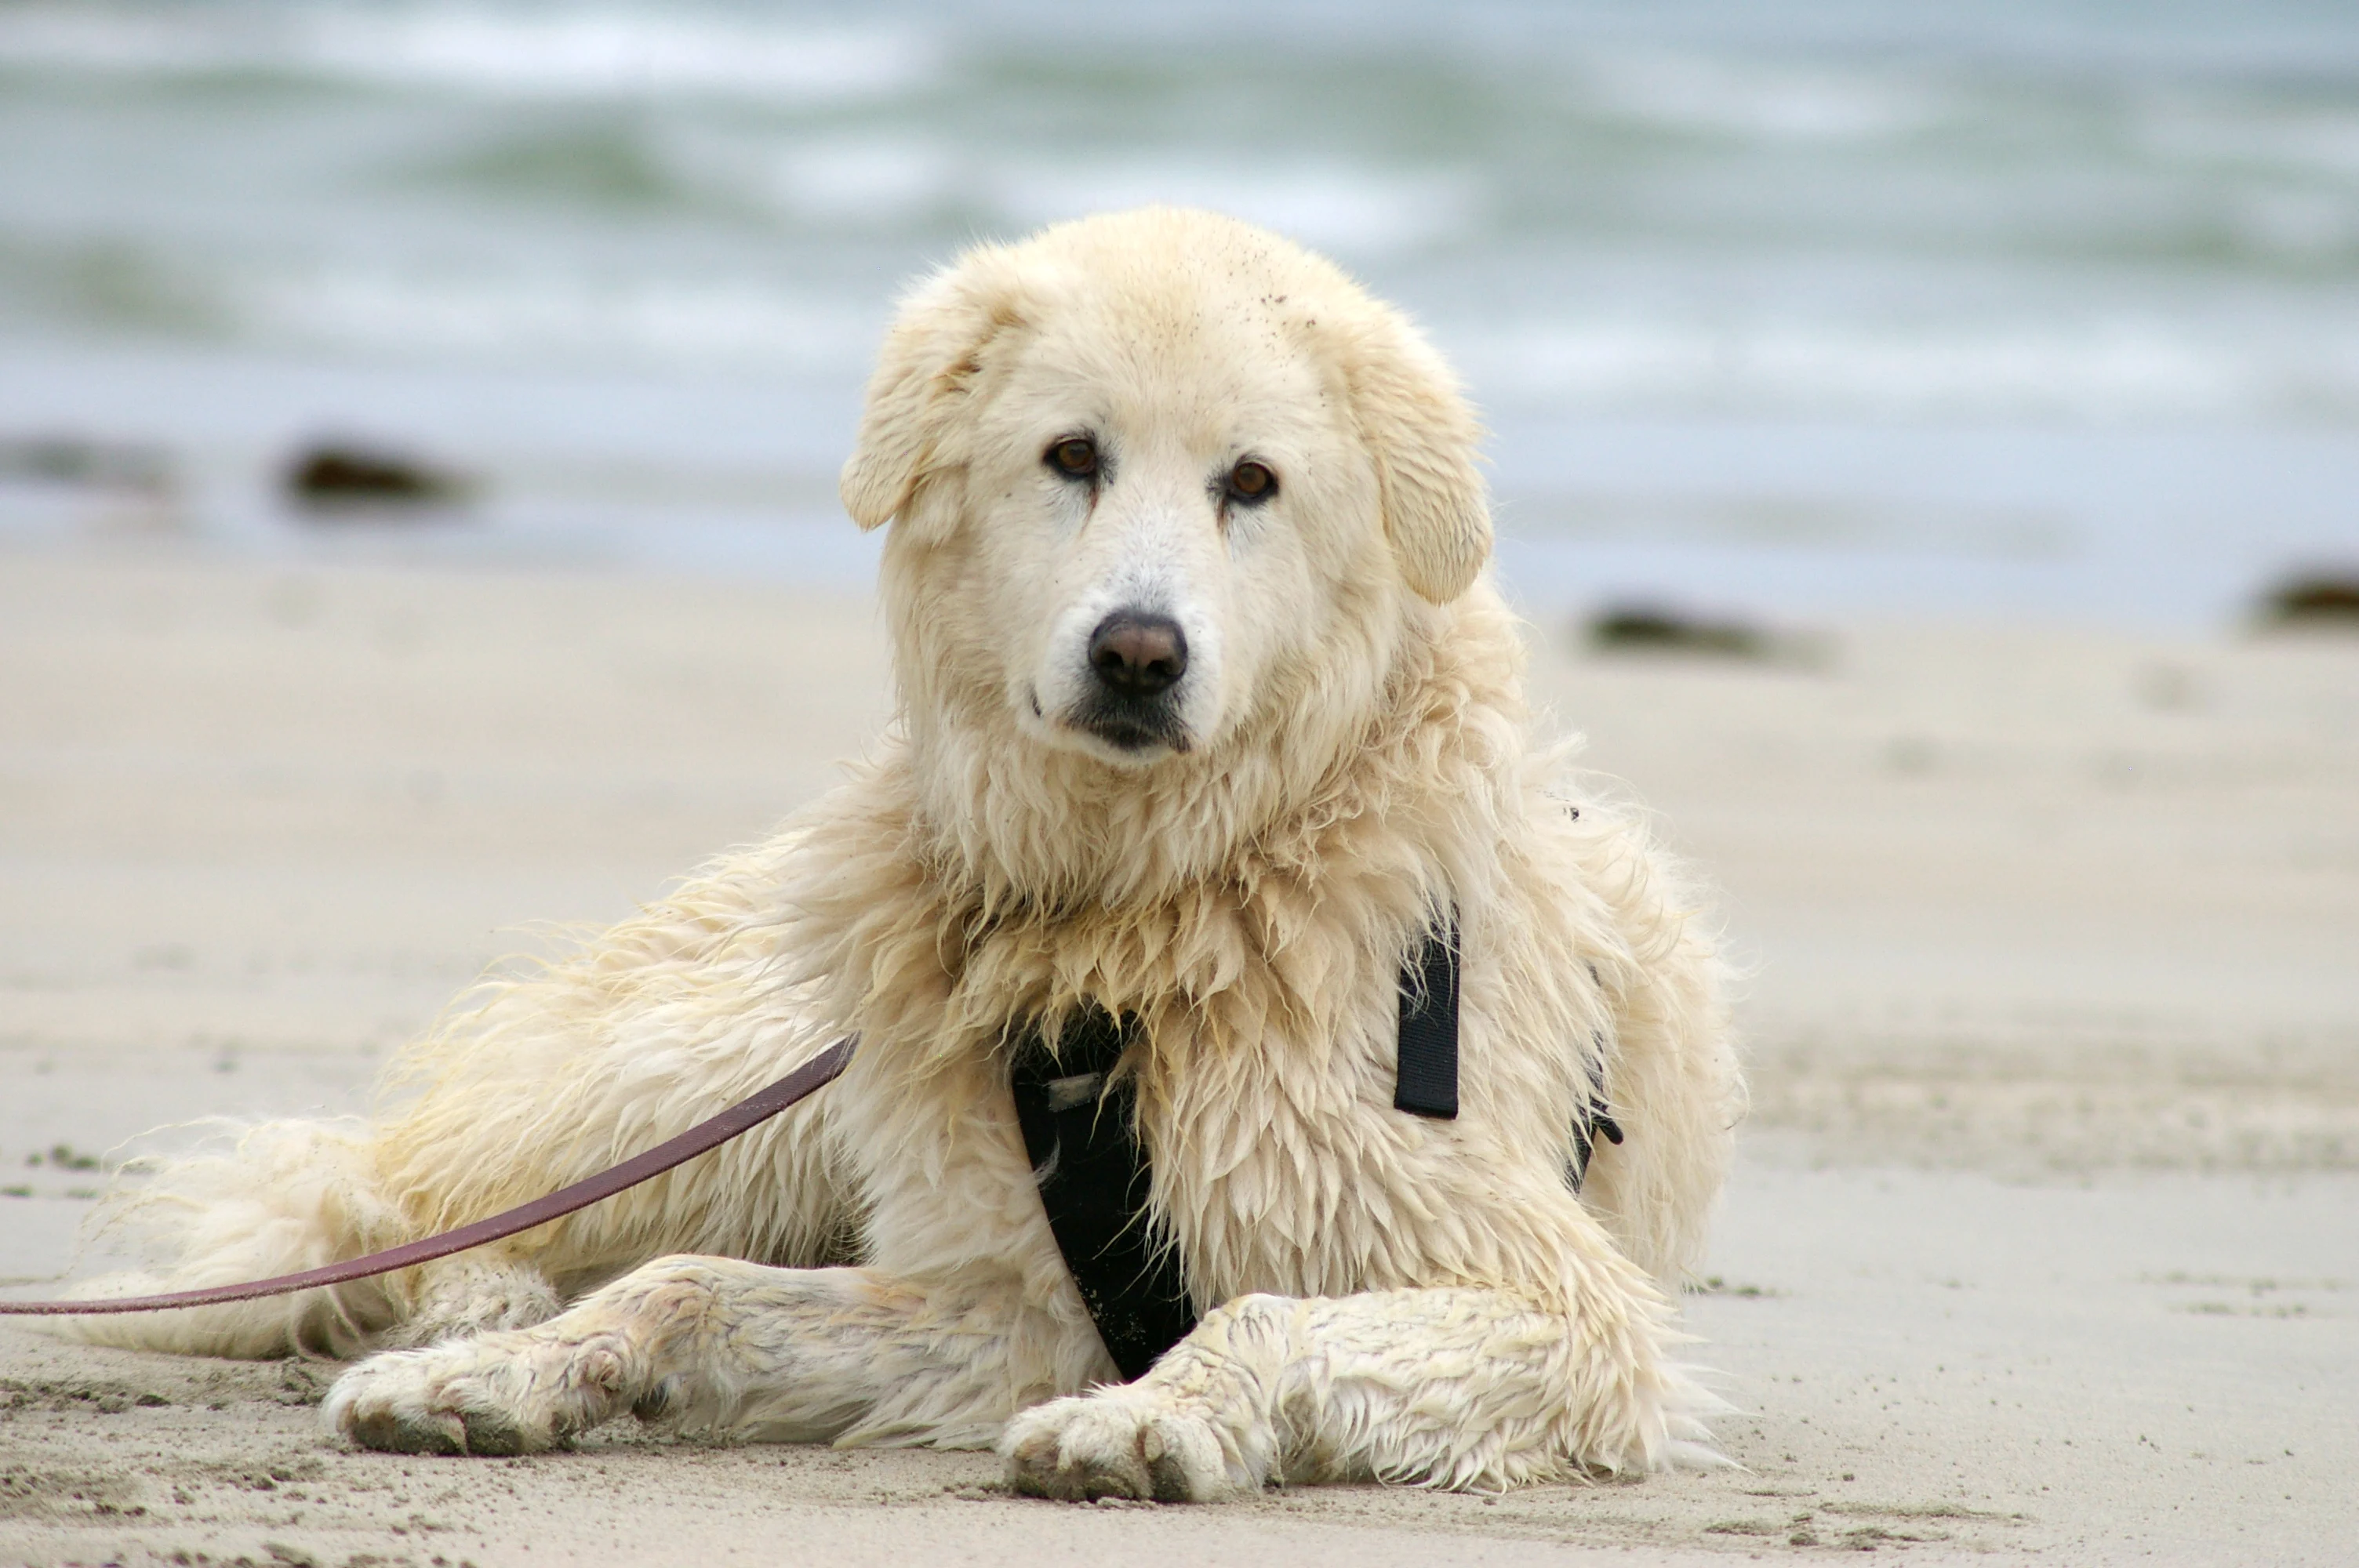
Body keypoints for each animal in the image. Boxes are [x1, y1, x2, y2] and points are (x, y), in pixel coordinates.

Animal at [74, 205, 1745, 1490]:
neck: (1135, 910)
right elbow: (688, 1291)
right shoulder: (1007, 1278)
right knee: (412, 1205)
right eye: (1070, 456)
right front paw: (519, 1371)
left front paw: (1153, 1424)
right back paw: (467, 1328)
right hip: (750, 1086)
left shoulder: (1548, 1304)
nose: (1138, 654)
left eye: (1252, 484)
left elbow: (1254, 1316)